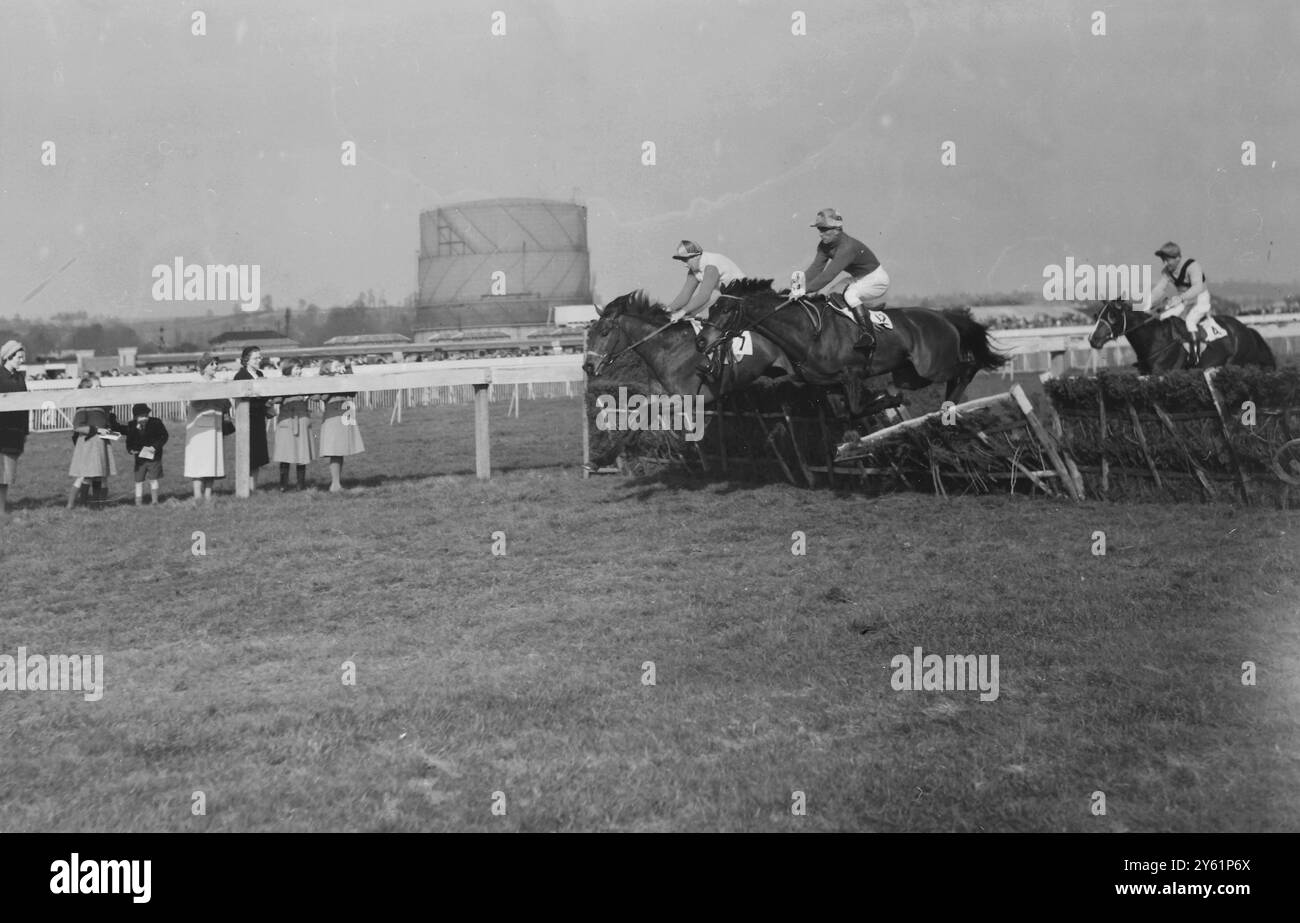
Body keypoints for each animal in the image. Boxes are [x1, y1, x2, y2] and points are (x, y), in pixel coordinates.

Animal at [696, 278, 1008, 416]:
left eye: (725, 310)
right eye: (712, 308)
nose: (701, 341)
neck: (808, 335)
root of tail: (944, 316)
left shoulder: (852, 375)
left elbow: (858, 409)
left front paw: (885, 399)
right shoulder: (829, 385)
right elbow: (845, 411)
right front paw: (885, 397)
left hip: (933, 366)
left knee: (968, 367)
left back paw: (950, 404)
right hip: (910, 374)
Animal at [1086, 300, 1268, 371]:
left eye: (1112, 316)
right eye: (1097, 315)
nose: (1093, 339)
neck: (1154, 340)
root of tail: (1246, 329)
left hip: (1236, 363)